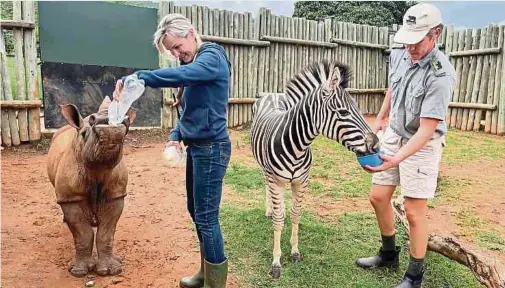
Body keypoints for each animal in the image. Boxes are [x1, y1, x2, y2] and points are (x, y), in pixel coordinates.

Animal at [248, 60, 378, 280]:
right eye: (343, 112)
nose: (376, 144)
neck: (297, 146)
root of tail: (273, 93)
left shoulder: (302, 180)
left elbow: (296, 213)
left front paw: (294, 252)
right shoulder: (277, 180)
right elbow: (278, 220)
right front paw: (276, 262)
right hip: (265, 169)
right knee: (266, 184)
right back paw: (270, 208)